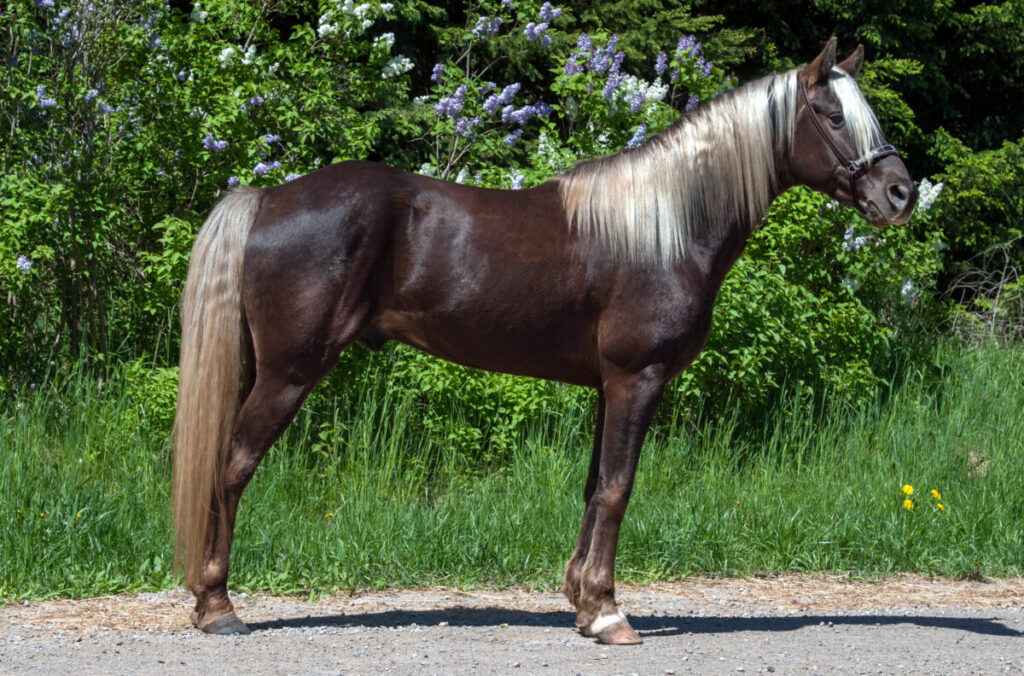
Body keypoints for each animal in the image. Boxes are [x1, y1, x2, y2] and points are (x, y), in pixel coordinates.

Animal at [172, 38, 917, 643]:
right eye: (831, 116)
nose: (900, 194)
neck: (665, 225)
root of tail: (268, 198)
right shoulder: (636, 379)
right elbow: (618, 488)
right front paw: (610, 615)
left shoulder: (605, 388)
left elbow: (593, 488)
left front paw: (584, 603)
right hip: (289, 373)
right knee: (233, 467)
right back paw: (218, 607)